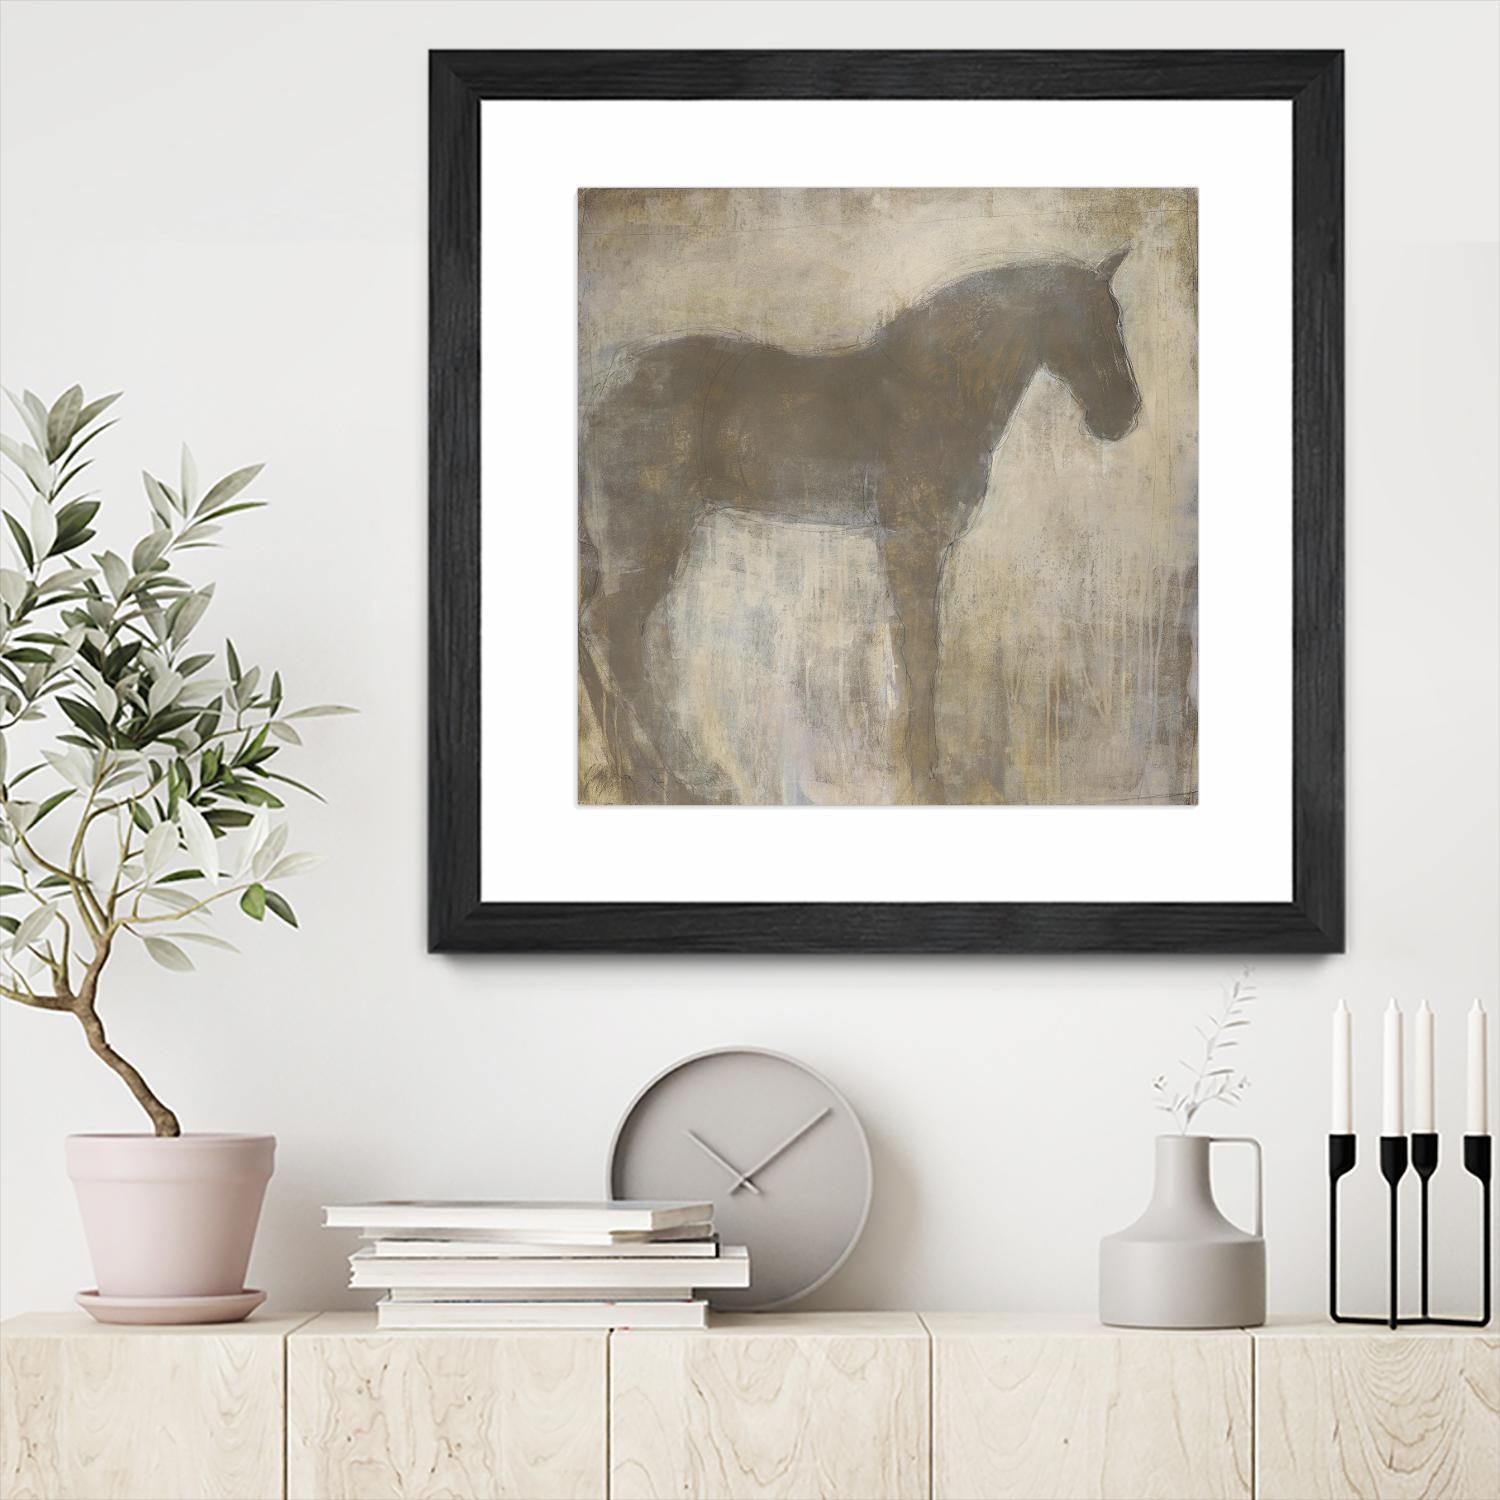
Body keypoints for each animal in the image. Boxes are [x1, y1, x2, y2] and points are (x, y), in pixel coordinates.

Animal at [579, 248, 1142, 803]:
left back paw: (632, 769)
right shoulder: (912, 543)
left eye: (1115, 319)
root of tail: (605, 393)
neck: (935, 387)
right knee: (613, 630)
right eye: (1090, 321)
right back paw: (689, 773)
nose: (1123, 414)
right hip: (648, 538)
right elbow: (920, 653)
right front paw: (926, 778)